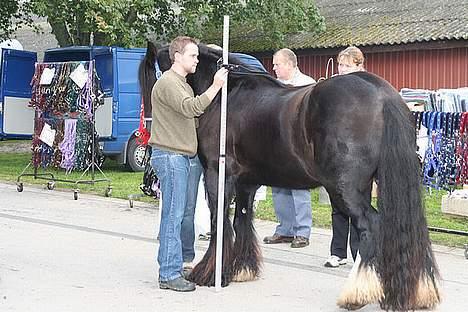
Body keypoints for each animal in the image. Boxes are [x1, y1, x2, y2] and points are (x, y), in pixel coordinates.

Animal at [139, 44, 438, 312]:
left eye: (151, 77)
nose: (148, 137)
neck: (223, 96)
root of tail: (383, 95)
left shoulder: (217, 175)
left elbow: (219, 222)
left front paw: (211, 274)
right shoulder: (246, 183)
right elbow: (241, 219)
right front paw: (241, 269)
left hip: (346, 190)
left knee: (371, 226)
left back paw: (357, 294)